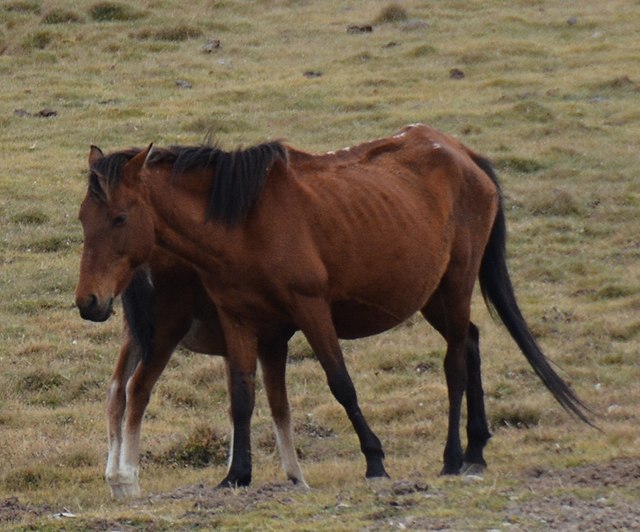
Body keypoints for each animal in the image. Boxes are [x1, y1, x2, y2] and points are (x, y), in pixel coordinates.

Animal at [103, 245, 308, 498]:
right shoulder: (272, 342)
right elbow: (278, 406)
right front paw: (296, 478)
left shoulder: (233, 351)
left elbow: (237, 408)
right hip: (164, 334)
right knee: (137, 388)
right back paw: (129, 479)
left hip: (133, 335)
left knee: (116, 388)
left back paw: (115, 480)